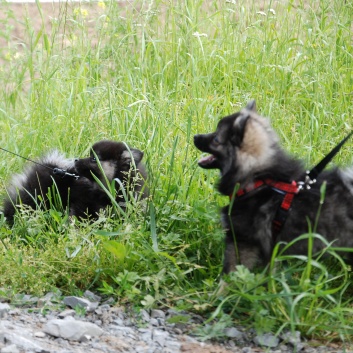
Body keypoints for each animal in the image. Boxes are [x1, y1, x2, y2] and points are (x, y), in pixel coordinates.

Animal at [194, 100, 352, 274]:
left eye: (216, 139)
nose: (195, 137)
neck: (257, 179)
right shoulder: (270, 250)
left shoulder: (242, 242)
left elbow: (230, 273)